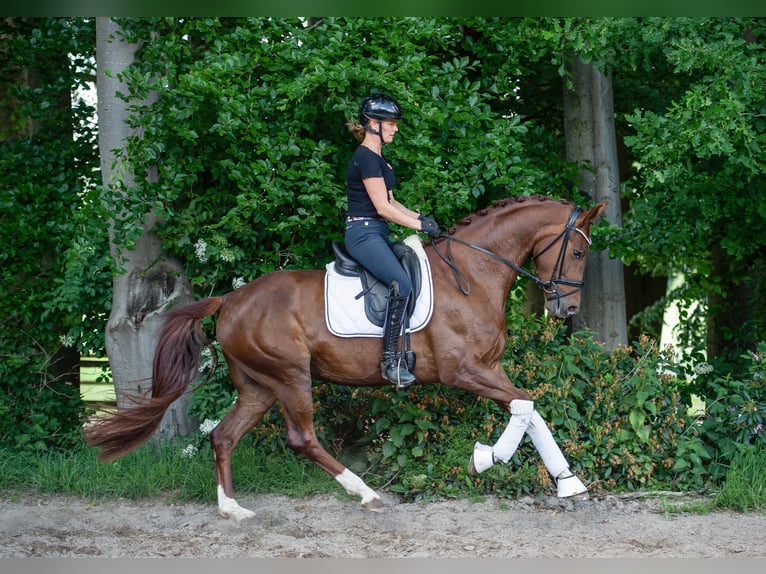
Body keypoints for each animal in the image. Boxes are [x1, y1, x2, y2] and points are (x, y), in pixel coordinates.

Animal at [85, 194, 608, 520]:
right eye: (578, 253)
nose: (568, 309)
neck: (473, 273)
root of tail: (230, 300)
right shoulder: (464, 370)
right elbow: (525, 406)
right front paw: (485, 458)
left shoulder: (489, 368)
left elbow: (529, 410)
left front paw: (569, 482)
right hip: (291, 376)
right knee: (302, 438)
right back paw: (366, 492)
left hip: (258, 385)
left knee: (224, 436)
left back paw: (232, 509)